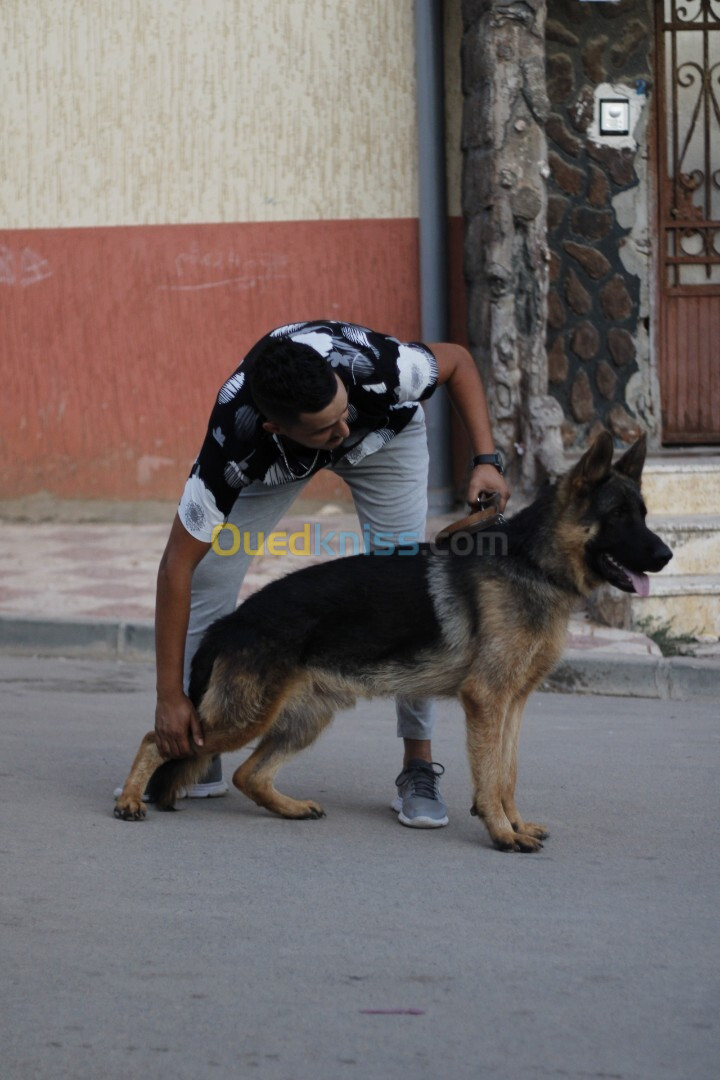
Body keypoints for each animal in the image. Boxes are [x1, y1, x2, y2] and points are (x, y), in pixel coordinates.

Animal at [115, 432, 673, 851]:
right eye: (618, 517)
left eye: (643, 514)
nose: (667, 556)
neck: (532, 564)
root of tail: (228, 624)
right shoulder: (486, 700)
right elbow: (490, 775)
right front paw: (500, 832)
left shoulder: (513, 703)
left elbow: (507, 772)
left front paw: (514, 823)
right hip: (243, 717)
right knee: (155, 739)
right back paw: (129, 799)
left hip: (303, 719)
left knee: (249, 774)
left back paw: (290, 808)